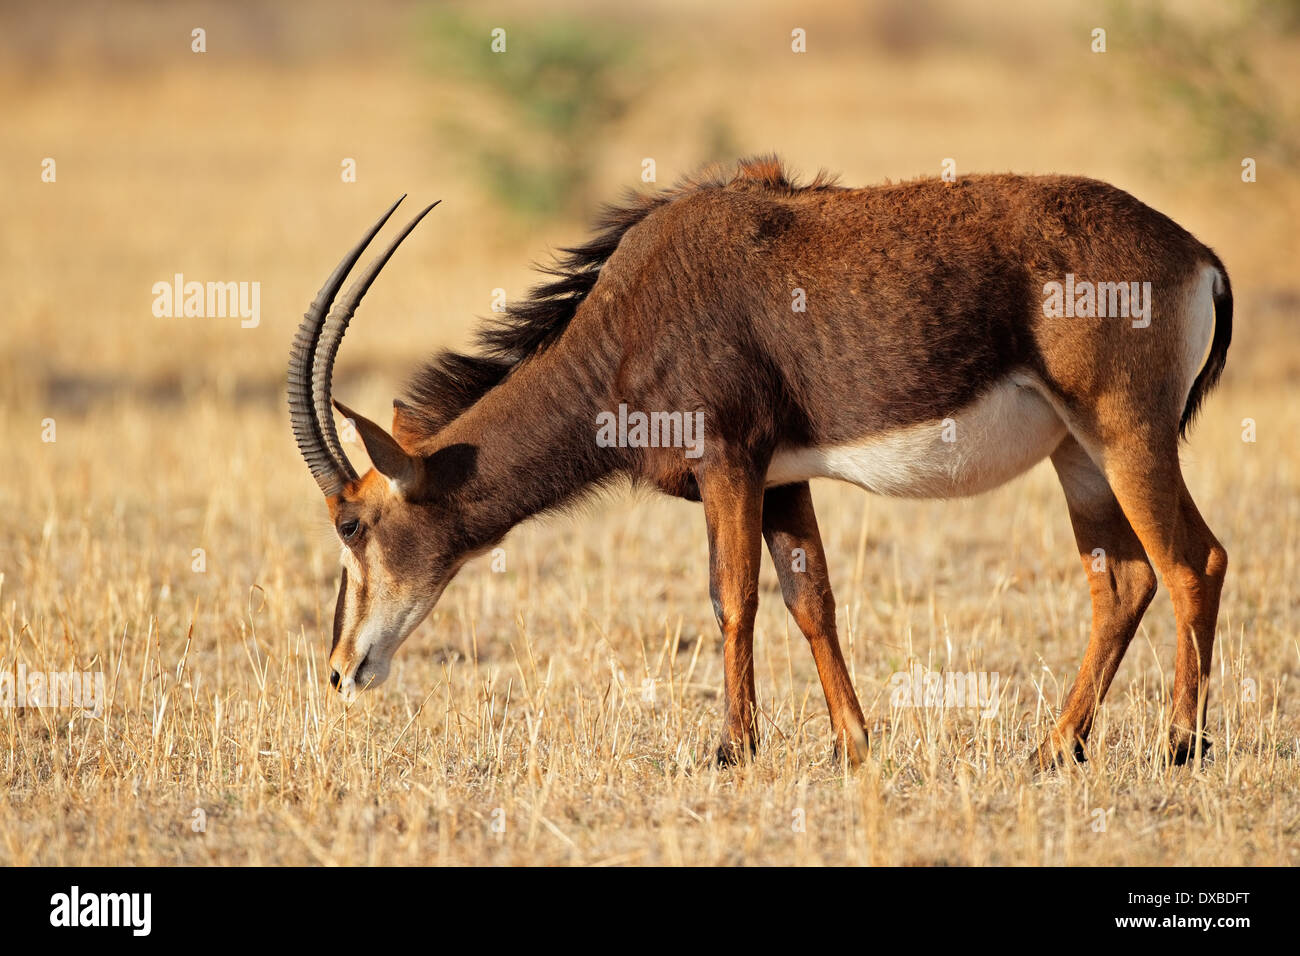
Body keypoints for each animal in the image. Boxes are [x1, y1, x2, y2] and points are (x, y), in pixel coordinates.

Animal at [284, 157, 1227, 770]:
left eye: (352, 523)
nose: (340, 669)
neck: (629, 315)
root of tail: (1197, 256)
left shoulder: (728, 461)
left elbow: (731, 596)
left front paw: (732, 748)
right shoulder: (782, 479)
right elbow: (812, 601)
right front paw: (853, 744)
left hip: (1125, 433)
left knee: (1193, 562)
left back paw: (1183, 746)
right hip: (1079, 457)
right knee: (1125, 582)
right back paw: (1056, 748)